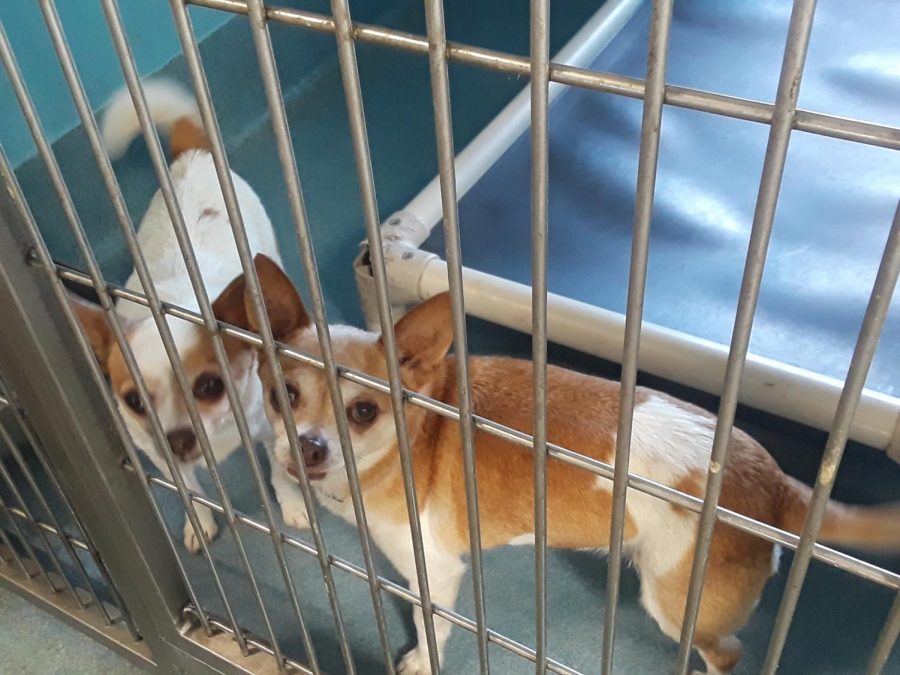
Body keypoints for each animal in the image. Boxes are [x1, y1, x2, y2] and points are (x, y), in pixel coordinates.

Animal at [70, 80, 302, 556]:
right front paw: (200, 523)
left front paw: (289, 505)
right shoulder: (160, 458)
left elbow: (279, 473)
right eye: (135, 401)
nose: (178, 439)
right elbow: (191, 491)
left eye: (210, 386)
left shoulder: (270, 431)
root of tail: (192, 154)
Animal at [223, 255, 900, 675]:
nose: (310, 448)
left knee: (726, 653)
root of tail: (777, 484)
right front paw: (293, 498)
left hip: (678, 598)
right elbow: (285, 478)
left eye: (363, 410)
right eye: (284, 395)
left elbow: (429, 622)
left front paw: (421, 659)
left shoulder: (435, 570)